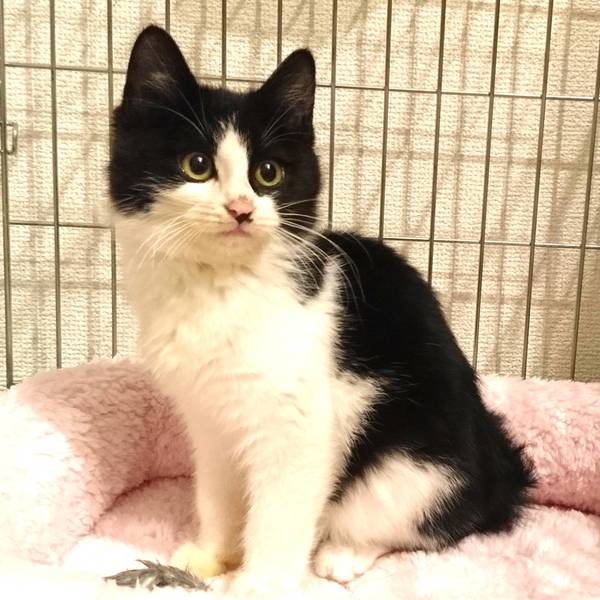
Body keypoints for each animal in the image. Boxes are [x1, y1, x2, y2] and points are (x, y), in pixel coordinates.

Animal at [109, 25, 534, 597]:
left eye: (268, 173)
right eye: (196, 165)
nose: (241, 208)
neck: (219, 288)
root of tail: (498, 470)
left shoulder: (300, 423)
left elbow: (279, 512)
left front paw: (258, 583)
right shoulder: (209, 418)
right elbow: (216, 490)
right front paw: (212, 555)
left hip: (414, 467)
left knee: (428, 524)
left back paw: (345, 552)